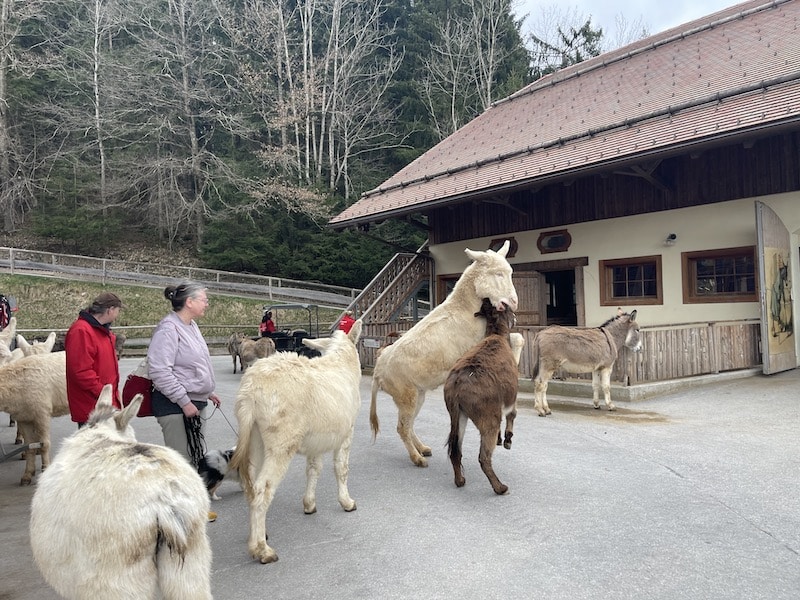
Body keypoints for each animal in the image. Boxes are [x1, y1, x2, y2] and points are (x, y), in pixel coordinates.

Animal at [229, 321, 363, 564]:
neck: (341, 363)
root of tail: (249, 393)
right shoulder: (346, 433)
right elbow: (341, 468)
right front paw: (347, 503)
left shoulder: (317, 440)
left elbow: (313, 469)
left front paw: (309, 504)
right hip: (281, 443)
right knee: (263, 488)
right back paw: (262, 550)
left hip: (255, 439)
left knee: (250, 484)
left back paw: (259, 533)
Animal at [370, 241, 518, 467]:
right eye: (498, 274)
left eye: (510, 273)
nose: (514, 302)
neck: (465, 308)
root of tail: (378, 372)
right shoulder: (479, 341)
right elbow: (518, 340)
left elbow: (519, 338)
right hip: (406, 396)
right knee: (402, 427)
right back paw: (417, 459)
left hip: (416, 395)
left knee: (408, 424)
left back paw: (422, 449)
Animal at [445, 298, 520, 495]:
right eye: (507, 309)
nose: (516, 317)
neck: (497, 335)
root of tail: (456, 386)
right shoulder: (511, 395)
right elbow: (512, 414)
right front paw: (507, 440)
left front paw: (502, 439)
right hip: (487, 417)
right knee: (484, 457)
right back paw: (500, 488)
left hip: (459, 415)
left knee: (455, 450)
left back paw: (460, 481)